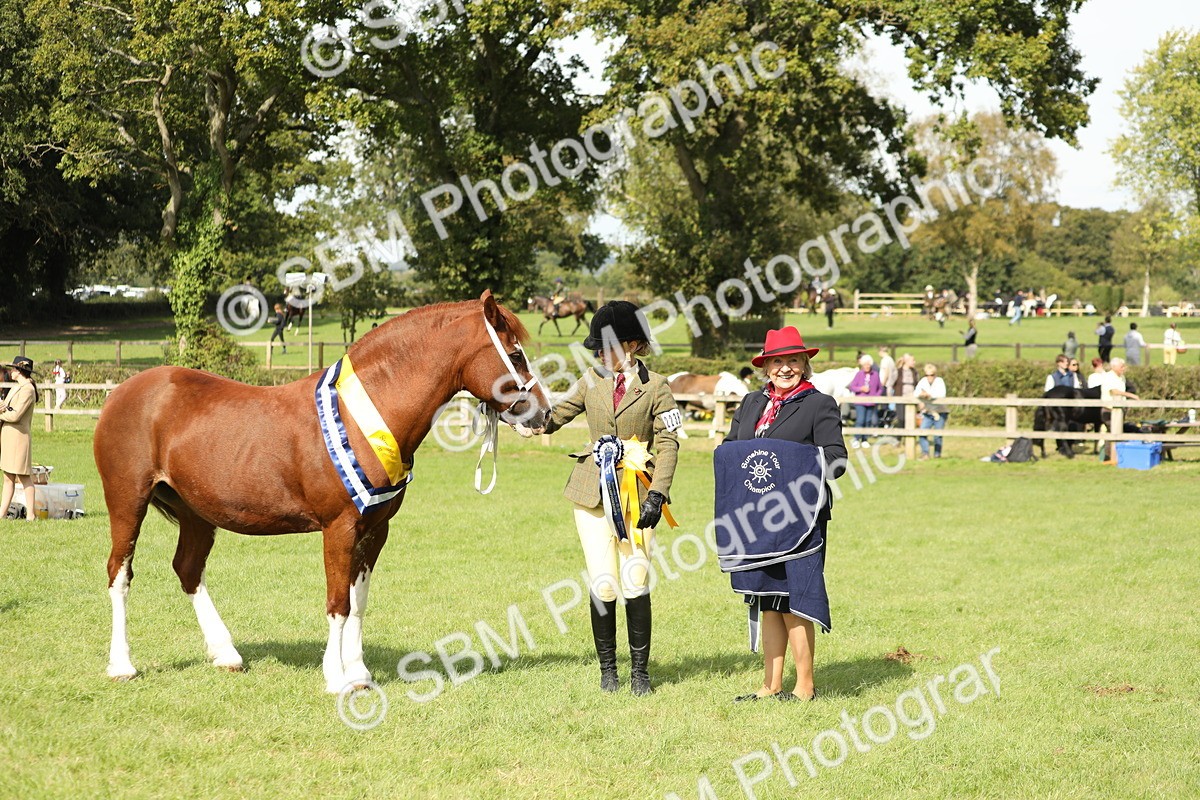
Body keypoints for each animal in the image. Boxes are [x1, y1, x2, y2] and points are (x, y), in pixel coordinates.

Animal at [95, 291, 551, 693]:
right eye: (514, 355)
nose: (545, 415)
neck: (361, 416)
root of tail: (122, 392)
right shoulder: (339, 527)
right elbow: (338, 603)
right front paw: (336, 678)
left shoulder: (376, 530)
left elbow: (359, 601)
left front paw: (360, 673)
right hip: (127, 502)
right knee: (120, 573)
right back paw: (122, 665)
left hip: (196, 513)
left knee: (188, 570)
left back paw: (226, 654)